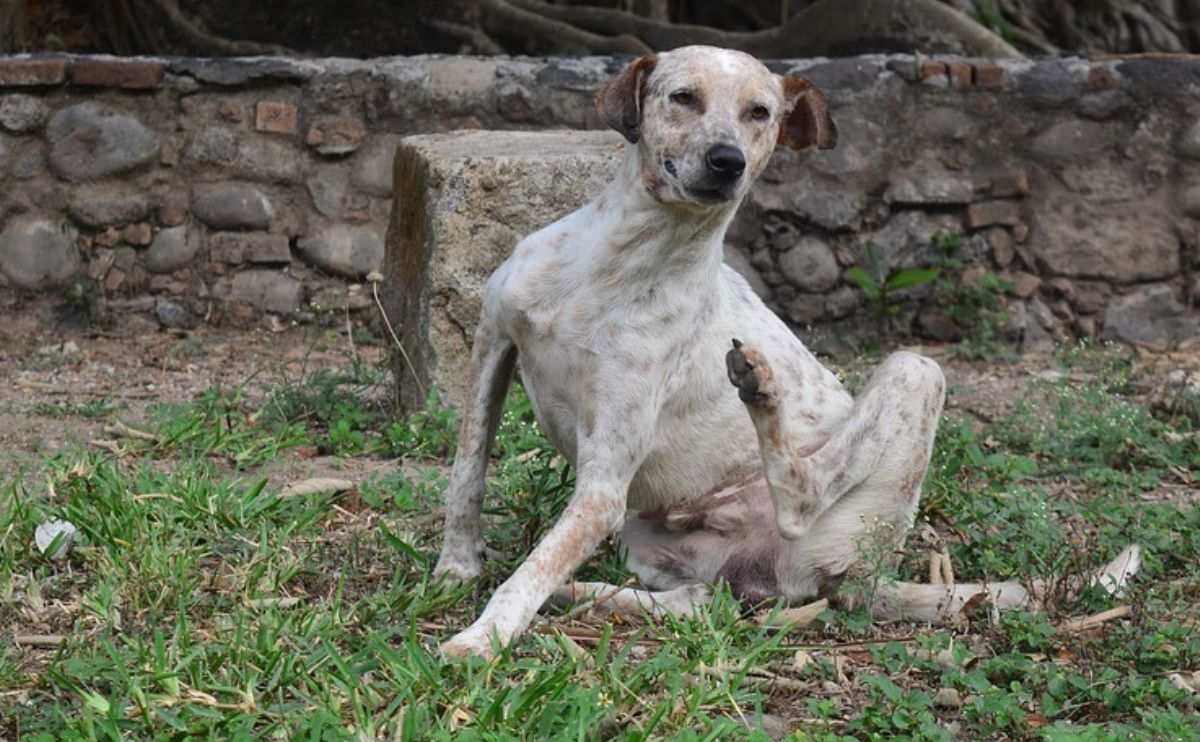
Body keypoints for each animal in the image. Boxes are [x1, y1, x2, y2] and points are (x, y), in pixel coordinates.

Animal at [434, 46, 1142, 657]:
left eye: (760, 113)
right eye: (683, 97)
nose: (727, 161)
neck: (620, 263)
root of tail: (863, 575)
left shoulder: (605, 487)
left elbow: (532, 569)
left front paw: (483, 637)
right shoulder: (493, 343)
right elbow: (467, 473)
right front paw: (455, 567)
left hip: (914, 372)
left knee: (802, 496)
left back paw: (762, 392)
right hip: (649, 541)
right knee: (700, 601)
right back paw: (587, 594)